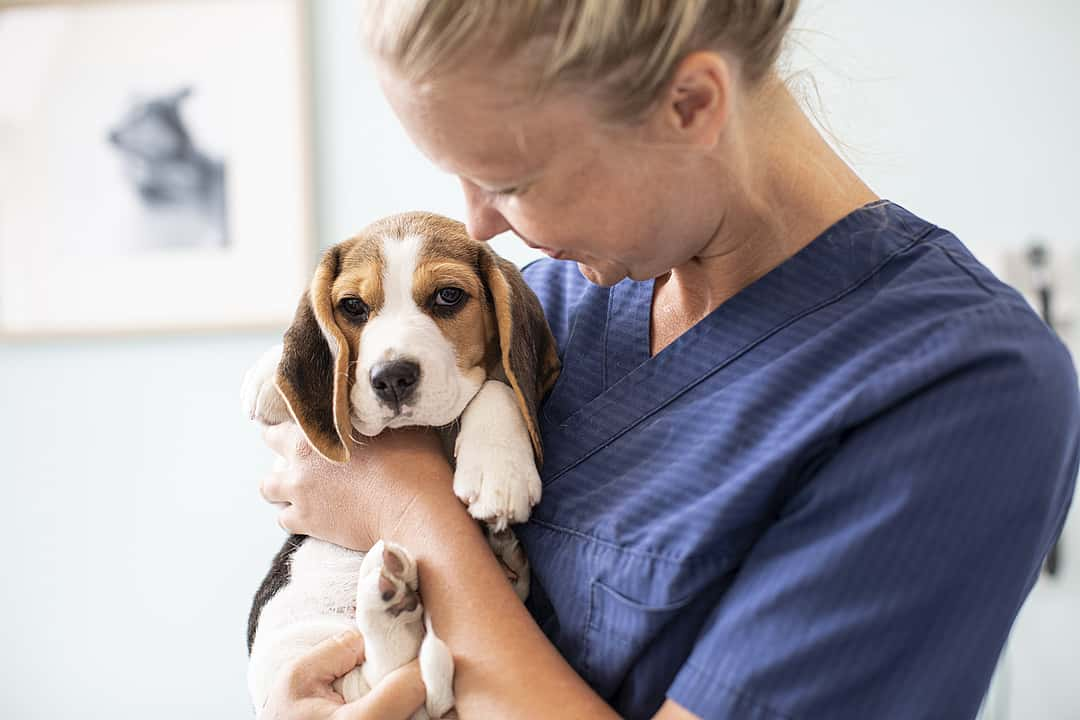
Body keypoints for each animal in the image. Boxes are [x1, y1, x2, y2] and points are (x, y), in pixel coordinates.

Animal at [241, 213, 561, 720]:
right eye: (352, 306)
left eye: (448, 296)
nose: (390, 378)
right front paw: (268, 376)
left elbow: (497, 386)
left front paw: (499, 473)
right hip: (292, 643)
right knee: (382, 674)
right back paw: (392, 596)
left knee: (391, 671)